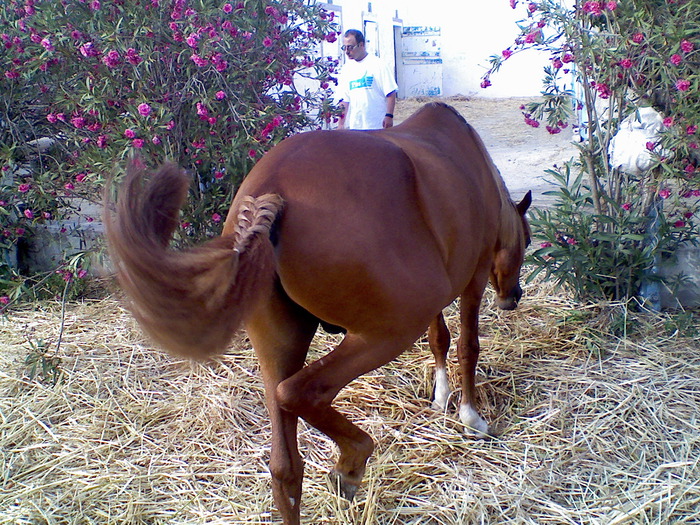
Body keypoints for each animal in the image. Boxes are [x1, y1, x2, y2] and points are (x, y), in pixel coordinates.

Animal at [105, 102, 532, 524]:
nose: (513, 296)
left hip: (280, 344)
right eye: (527, 241)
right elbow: (466, 346)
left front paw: (440, 396)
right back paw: (352, 462)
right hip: (387, 332)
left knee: (285, 466)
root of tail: (271, 188)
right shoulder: (473, 278)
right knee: (299, 393)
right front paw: (471, 417)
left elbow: (438, 339)